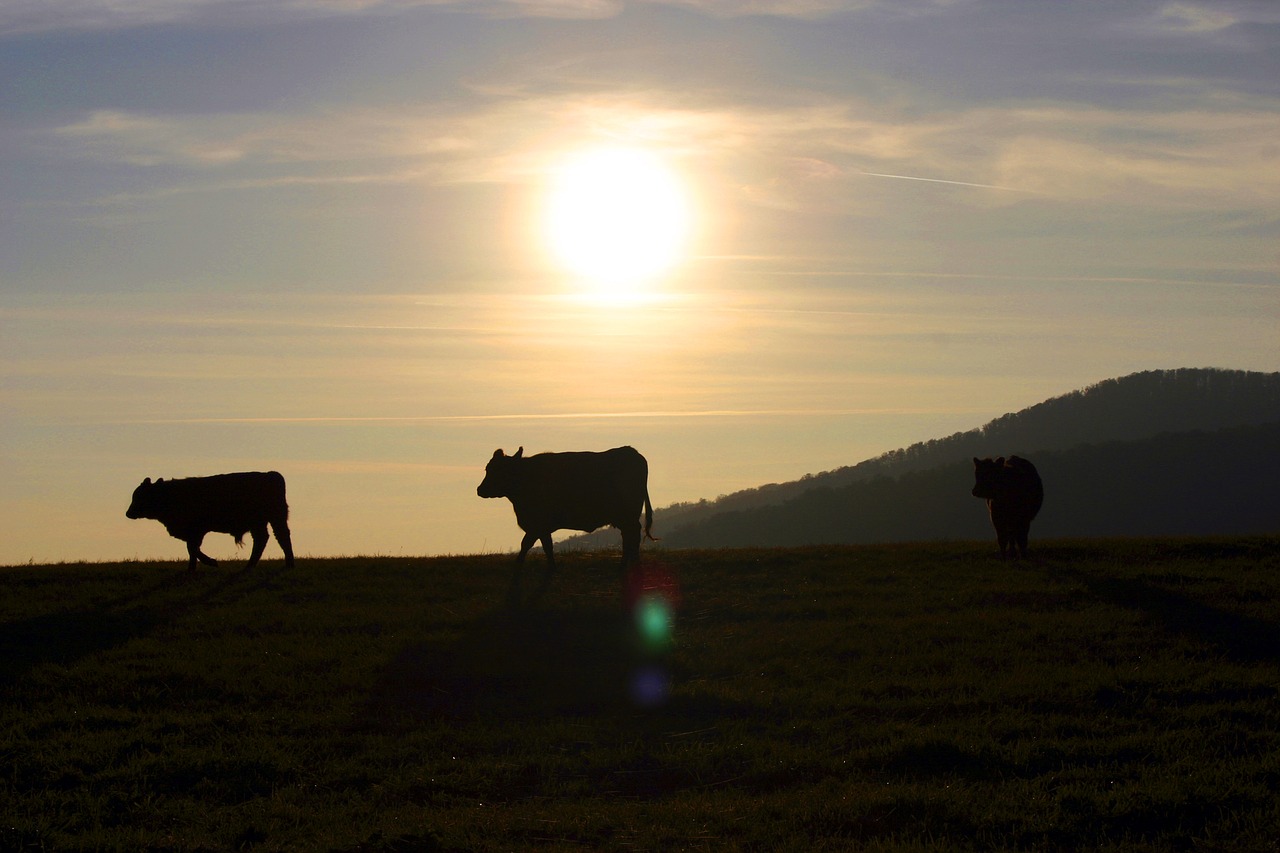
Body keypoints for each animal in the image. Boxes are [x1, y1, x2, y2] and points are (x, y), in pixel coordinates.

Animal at [128, 468, 296, 568]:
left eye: (140, 496)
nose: (128, 513)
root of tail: (269, 474)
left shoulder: (197, 530)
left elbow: (192, 548)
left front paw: (211, 562)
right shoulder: (193, 533)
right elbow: (191, 549)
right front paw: (192, 568)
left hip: (268, 519)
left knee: (274, 537)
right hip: (266, 521)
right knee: (270, 537)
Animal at [481, 445, 660, 591]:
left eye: (497, 470)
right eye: (488, 468)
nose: (479, 489)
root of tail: (633, 452)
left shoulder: (536, 524)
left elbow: (525, 545)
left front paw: (517, 568)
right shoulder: (542, 527)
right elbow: (547, 546)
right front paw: (552, 568)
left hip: (628, 516)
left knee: (633, 537)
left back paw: (635, 566)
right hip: (623, 518)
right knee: (628, 538)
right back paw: (624, 565)